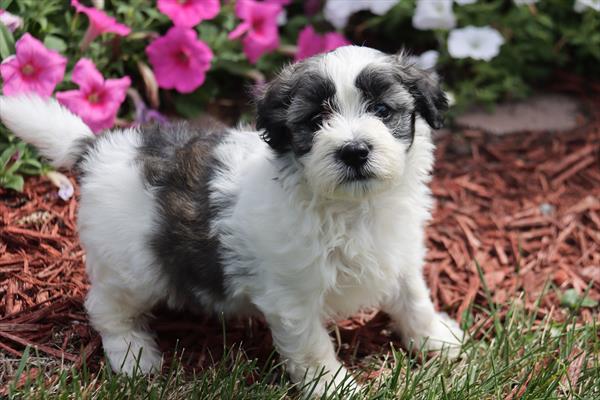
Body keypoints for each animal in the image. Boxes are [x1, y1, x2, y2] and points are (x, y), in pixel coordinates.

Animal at [0, 47, 464, 396]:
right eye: (315, 120)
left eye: (383, 110)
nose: (353, 150)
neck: (352, 208)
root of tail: (99, 150)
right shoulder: (291, 295)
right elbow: (312, 346)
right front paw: (335, 387)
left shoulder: (399, 254)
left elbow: (413, 297)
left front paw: (436, 339)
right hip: (133, 267)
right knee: (104, 306)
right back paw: (133, 354)